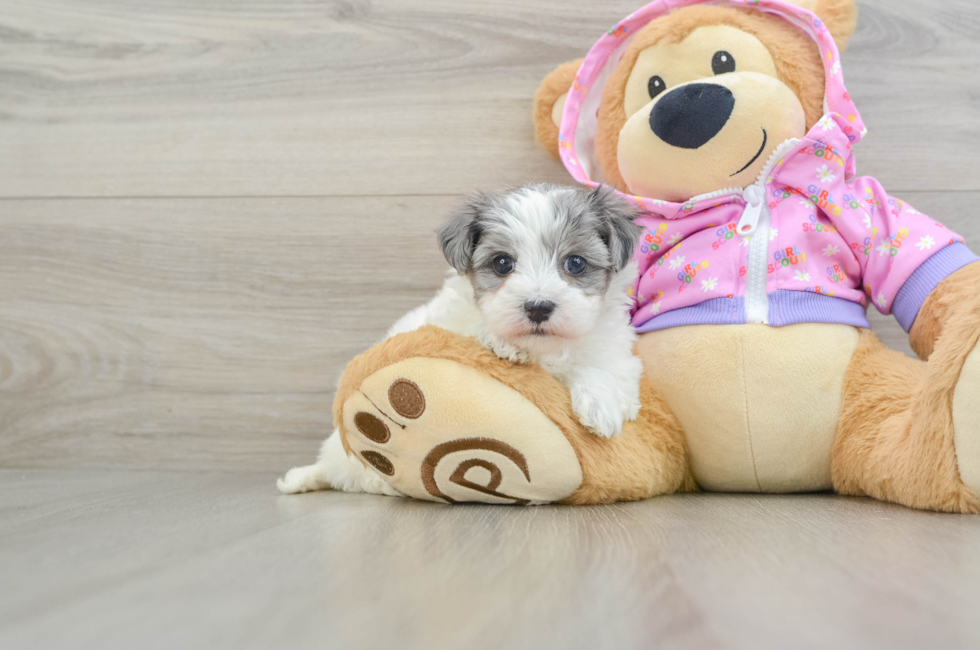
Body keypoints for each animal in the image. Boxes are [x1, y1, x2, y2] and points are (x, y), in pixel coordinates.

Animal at [276, 184, 644, 496]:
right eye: (502, 263)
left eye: (576, 263)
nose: (538, 307)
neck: (542, 350)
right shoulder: (445, 324)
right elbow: (469, 331)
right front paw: (502, 343)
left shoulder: (615, 351)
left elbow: (603, 368)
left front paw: (600, 406)